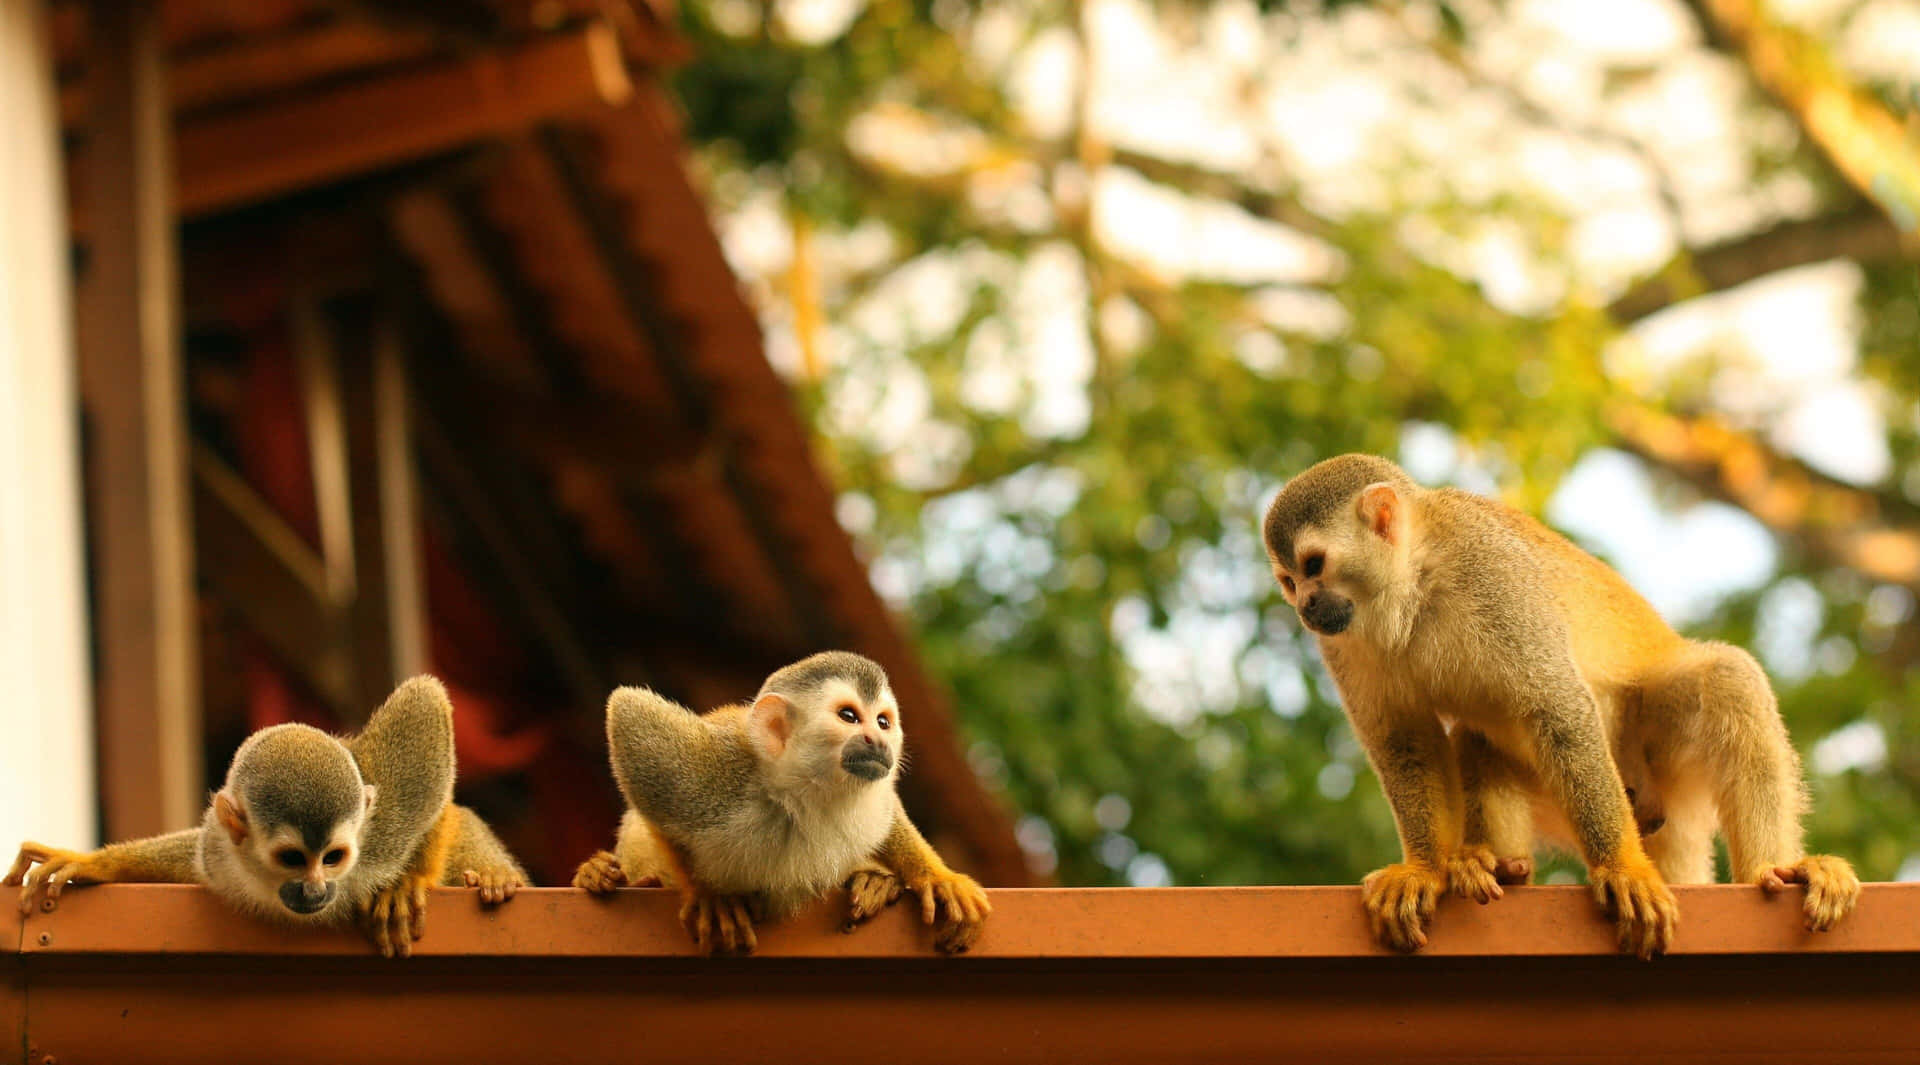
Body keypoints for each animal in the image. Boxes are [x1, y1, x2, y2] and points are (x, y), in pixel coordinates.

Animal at [5, 679, 533, 963]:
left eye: (333, 858)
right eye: (294, 859)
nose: (317, 890)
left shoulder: (380, 838)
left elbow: (424, 722)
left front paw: (407, 883)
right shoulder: (219, 853)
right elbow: (191, 856)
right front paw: (93, 863)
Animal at [564, 648, 990, 959]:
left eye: (883, 722)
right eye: (850, 717)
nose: (879, 741)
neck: (800, 795)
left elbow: (889, 814)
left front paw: (935, 876)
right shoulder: (719, 775)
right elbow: (630, 717)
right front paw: (709, 895)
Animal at [1267, 454, 1850, 963]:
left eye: (1315, 565)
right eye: (1290, 582)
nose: (1306, 607)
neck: (1412, 584)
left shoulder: (1491, 574)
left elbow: (1557, 706)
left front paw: (1621, 868)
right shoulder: (1343, 642)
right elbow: (1404, 741)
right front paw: (1425, 869)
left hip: (1650, 758)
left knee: (1728, 680)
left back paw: (1775, 870)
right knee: (1478, 737)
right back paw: (1496, 867)